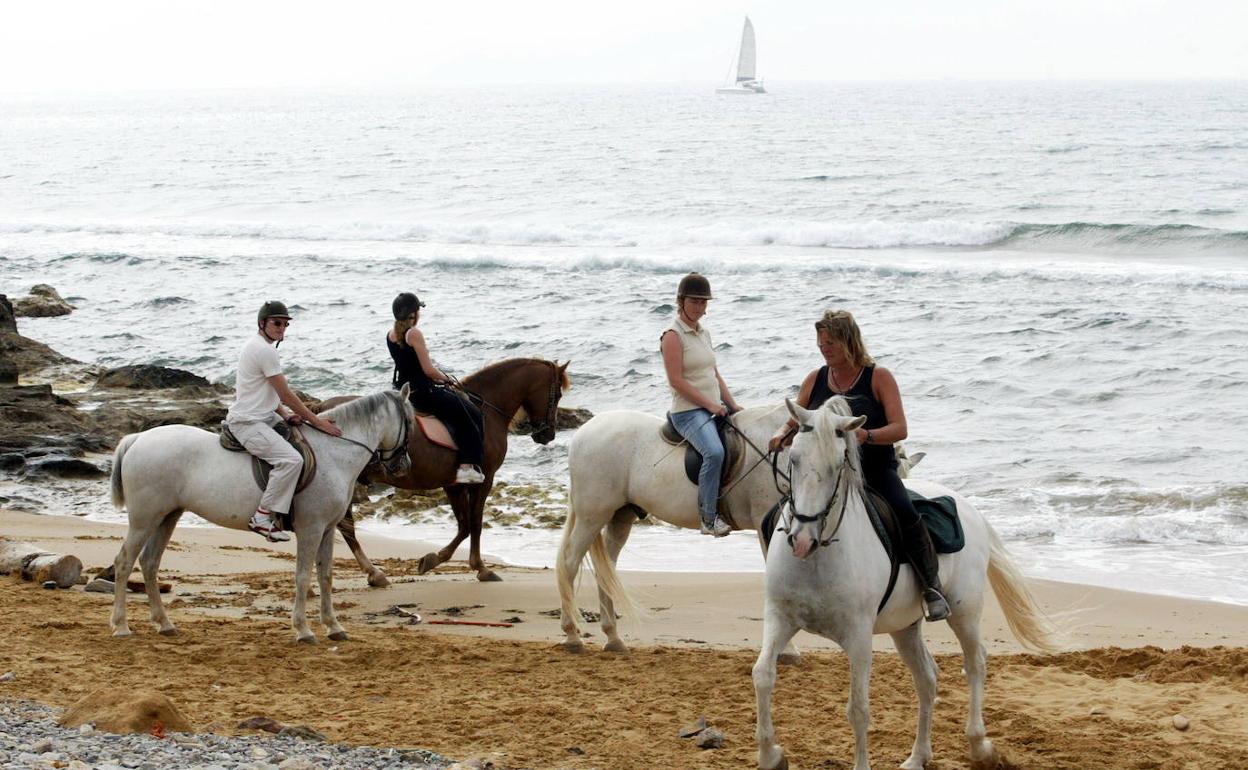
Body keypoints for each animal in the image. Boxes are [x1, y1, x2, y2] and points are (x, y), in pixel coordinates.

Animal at [108, 386, 414, 644]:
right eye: (411, 422)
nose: (404, 465)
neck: (334, 452)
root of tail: (137, 440)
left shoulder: (327, 529)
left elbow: (325, 576)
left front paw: (333, 627)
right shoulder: (311, 529)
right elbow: (303, 576)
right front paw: (303, 630)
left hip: (168, 516)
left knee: (149, 563)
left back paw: (164, 623)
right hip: (144, 519)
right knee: (124, 562)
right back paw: (121, 625)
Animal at [328, 358, 570, 584]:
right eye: (557, 394)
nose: (548, 434)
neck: (486, 410)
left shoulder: (453, 484)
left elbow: (464, 526)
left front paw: (432, 559)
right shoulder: (484, 479)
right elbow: (475, 523)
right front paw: (480, 567)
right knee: (344, 523)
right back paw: (373, 572)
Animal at [556, 403, 792, 654]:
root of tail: (582, 433)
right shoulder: (765, 521)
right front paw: (787, 650)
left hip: (620, 516)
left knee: (605, 569)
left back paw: (613, 638)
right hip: (592, 517)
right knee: (569, 564)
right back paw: (572, 636)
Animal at [753, 397, 1057, 770]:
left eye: (838, 464)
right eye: (793, 459)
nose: (801, 540)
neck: (819, 556)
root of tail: (969, 508)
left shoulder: (858, 637)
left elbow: (858, 709)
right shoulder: (780, 619)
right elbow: (762, 675)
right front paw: (771, 756)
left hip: (965, 613)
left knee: (976, 664)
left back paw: (980, 746)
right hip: (905, 627)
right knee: (927, 678)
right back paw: (918, 756)